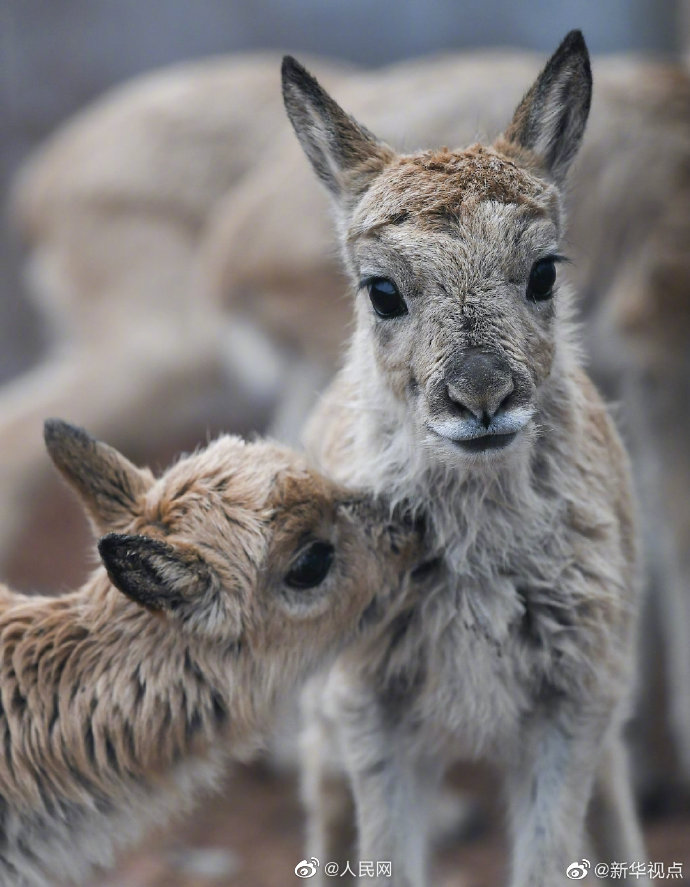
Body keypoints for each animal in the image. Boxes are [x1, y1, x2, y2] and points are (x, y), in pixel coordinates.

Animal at [282, 29, 648, 887]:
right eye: (382, 291)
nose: (481, 397)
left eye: (544, 272)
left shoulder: (572, 710)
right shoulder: (372, 718)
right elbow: (386, 856)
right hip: (323, 730)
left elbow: (550, 856)